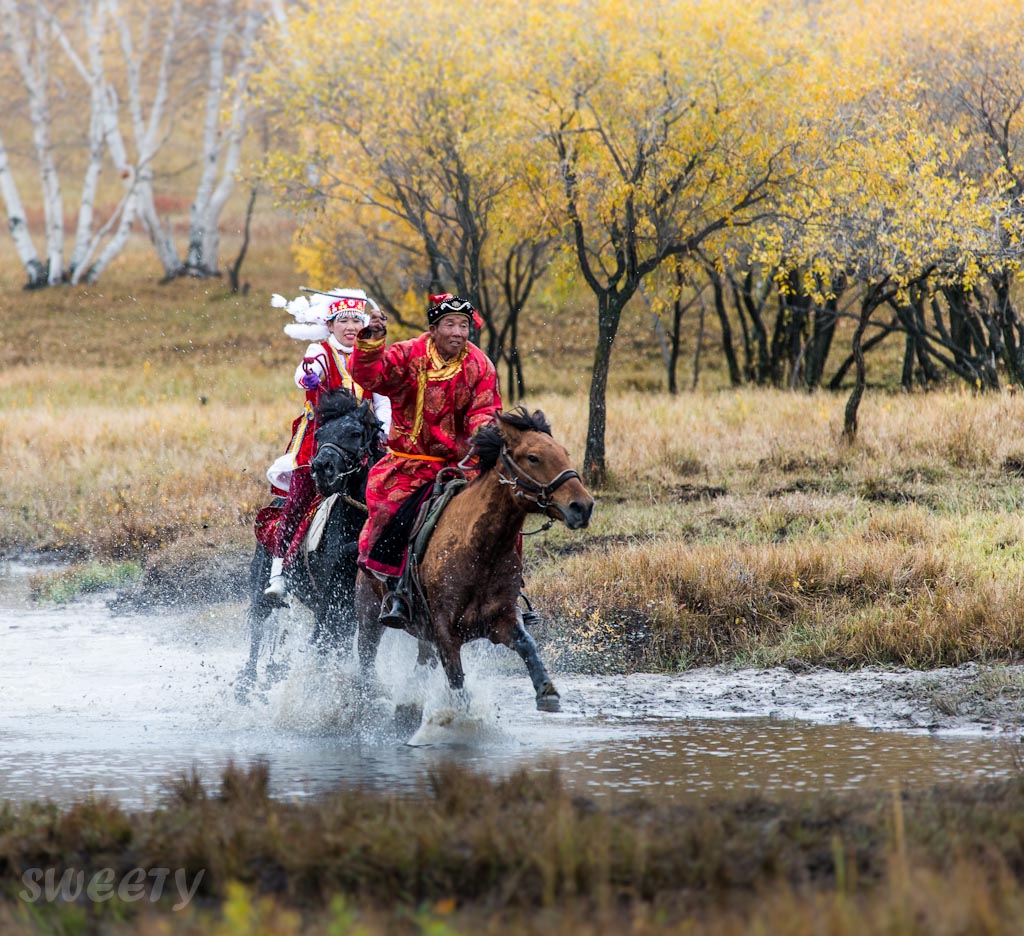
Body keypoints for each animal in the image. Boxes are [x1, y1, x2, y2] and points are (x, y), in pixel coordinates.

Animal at [235, 387, 385, 700]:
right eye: (320, 433)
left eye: (355, 432)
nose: (320, 468)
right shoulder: (334, 602)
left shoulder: (346, 608)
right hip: (260, 589)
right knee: (257, 630)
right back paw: (247, 685)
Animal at [352, 407, 593, 708]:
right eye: (533, 457)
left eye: (563, 452)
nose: (582, 506)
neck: (480, 552)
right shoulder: (445, 634)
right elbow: (458, 686)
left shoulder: (501, 620)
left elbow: (527, 644)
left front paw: (547, 692)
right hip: (368, 614)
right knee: (366, 659)